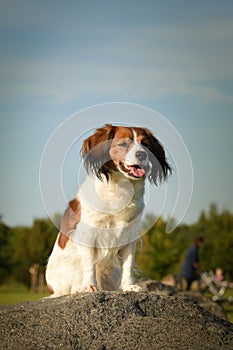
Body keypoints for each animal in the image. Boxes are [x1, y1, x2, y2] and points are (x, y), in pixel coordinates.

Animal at [45, 123, 170, 296]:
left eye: (145, 144)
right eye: (123, 144)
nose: (142, 154)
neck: (120, 188)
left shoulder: (130, 234)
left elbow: (128, 264)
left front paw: (129, 286)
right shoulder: (88, 233)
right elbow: (90, 263)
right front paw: (89, 287)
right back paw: (77, 288)